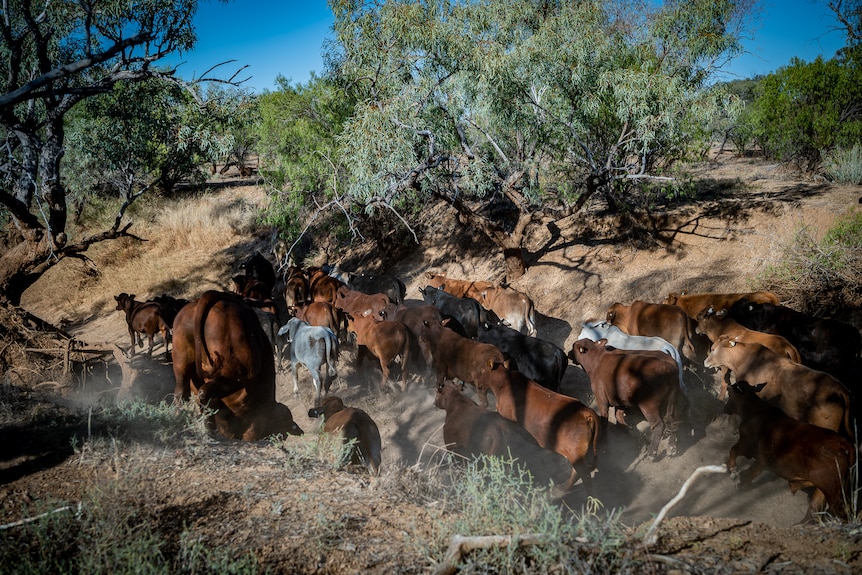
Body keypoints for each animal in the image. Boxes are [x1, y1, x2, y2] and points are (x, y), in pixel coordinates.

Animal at [472, 364, 600, 496]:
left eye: (480, 369)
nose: (472, 378)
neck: (504, 385)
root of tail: (585, 412)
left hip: (575, 456)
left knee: (584, 476)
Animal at [728, 382, 856, 528]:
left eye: (730, 394)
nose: (725, 409)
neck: (756, 410)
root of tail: (840, 441)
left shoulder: (745, 445)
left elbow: (733, 451)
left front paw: (733, 472)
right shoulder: (762, 459)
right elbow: (752, 471)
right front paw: (742, 482)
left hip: (832, 490)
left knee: (842, 512)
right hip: (825, 489)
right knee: (815, 508)